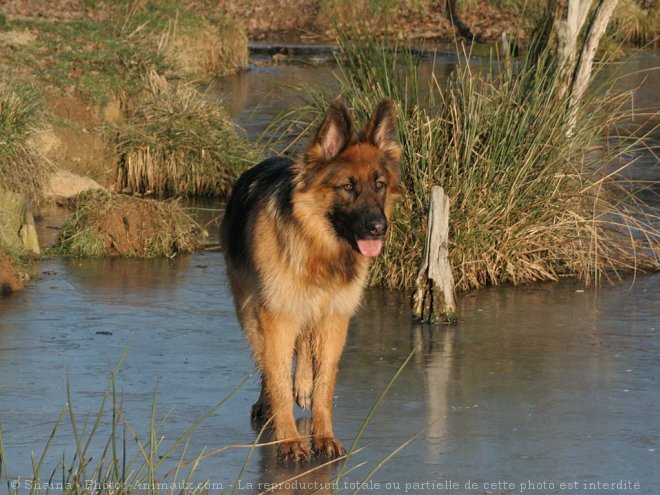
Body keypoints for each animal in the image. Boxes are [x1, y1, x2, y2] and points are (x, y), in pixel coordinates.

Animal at [219, 99, 400, 464]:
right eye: (347, 187)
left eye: (379, 185)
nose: (379, 228)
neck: (318, 247)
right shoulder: (276, 315)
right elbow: (276, 374)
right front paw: (288, 439)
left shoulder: (334, 319)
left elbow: (325, 383)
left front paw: (324, 435)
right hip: (251, 313)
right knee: (266, 359)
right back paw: (267, 404)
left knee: (302, 345)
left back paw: (301, 384)